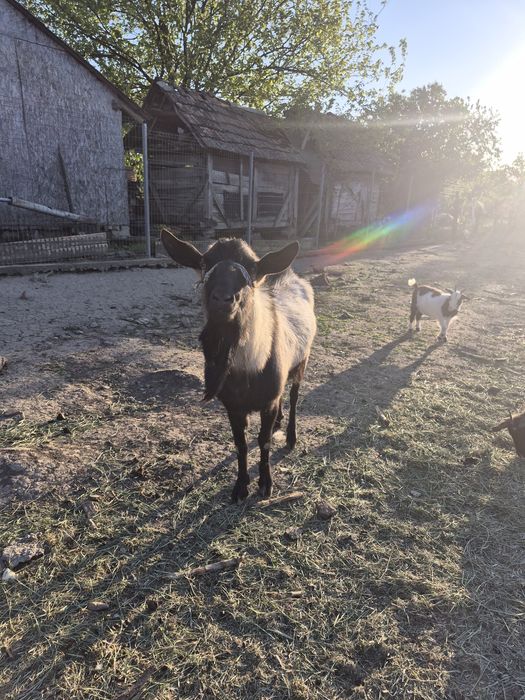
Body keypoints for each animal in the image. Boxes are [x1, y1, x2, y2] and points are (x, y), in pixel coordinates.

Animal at [161, 229, 317, 502]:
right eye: (205, 263)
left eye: (252, 267)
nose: (223, 299)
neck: (249, 368)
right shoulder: (233, 406)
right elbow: (240, 444)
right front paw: (241, 486)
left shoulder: (267, 402)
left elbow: (263, 441)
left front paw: (265, 484)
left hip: (302, 360)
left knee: (295, 396)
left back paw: (290, 436)